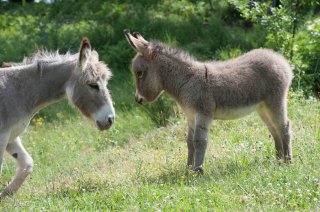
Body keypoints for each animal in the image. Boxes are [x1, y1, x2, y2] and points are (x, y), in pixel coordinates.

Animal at [124, 29, 292, 172]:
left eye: (139, 73)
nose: (138, 100)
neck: (186, 80)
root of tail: (280, 59)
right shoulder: (190, 115)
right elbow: (189, 142)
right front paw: (187, 169)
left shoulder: (203, 113)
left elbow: (199, 140)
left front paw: (197, 170)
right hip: (262, 107)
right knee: (273, 129)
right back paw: (278, 160)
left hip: (275, 101)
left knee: (284, 126)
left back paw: (288, 161)